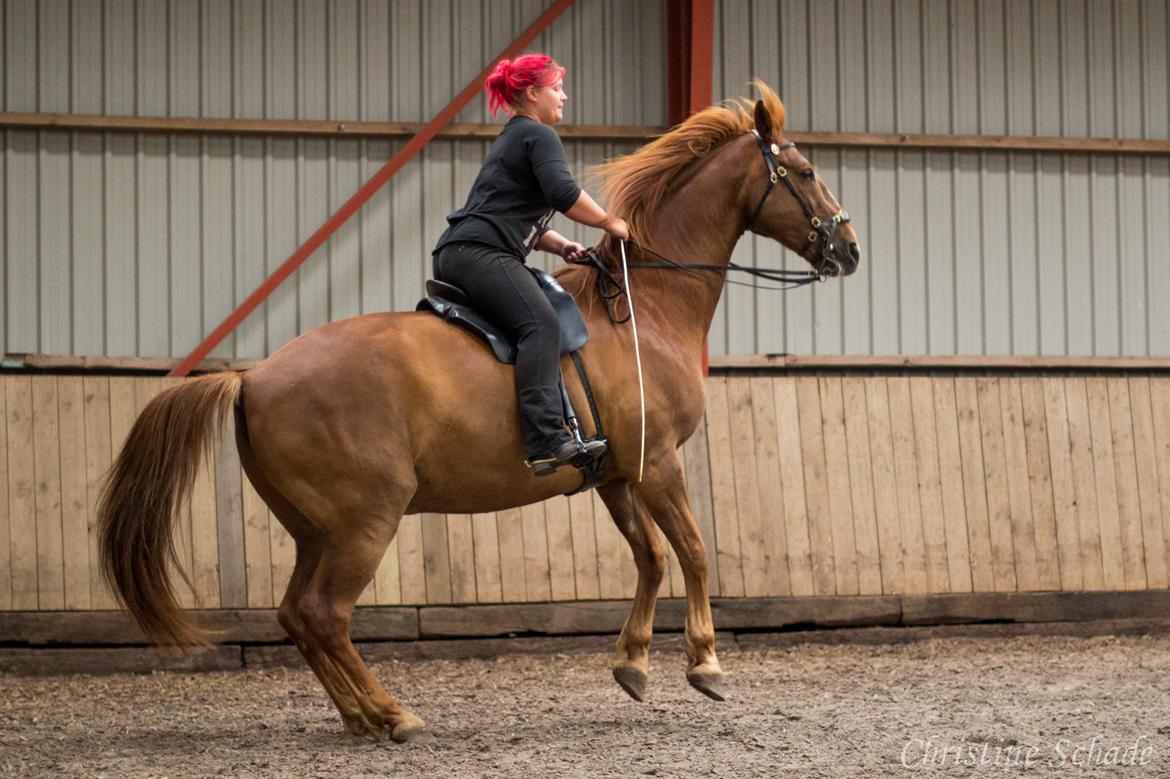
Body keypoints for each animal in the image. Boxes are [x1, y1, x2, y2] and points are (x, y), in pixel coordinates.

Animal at [98, 81, 861, 743]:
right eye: (806, 170)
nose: (849, 249)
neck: (647, 307)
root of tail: (251, 377)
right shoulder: (657, 462)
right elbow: (696, 552)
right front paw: (705, 663)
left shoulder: (617, 474)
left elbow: (649, 559)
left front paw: (633, 664)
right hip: (365, 521)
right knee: (324, 613)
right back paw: (393, 714)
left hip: (316, 527)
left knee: (298, 615)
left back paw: (361, 716)